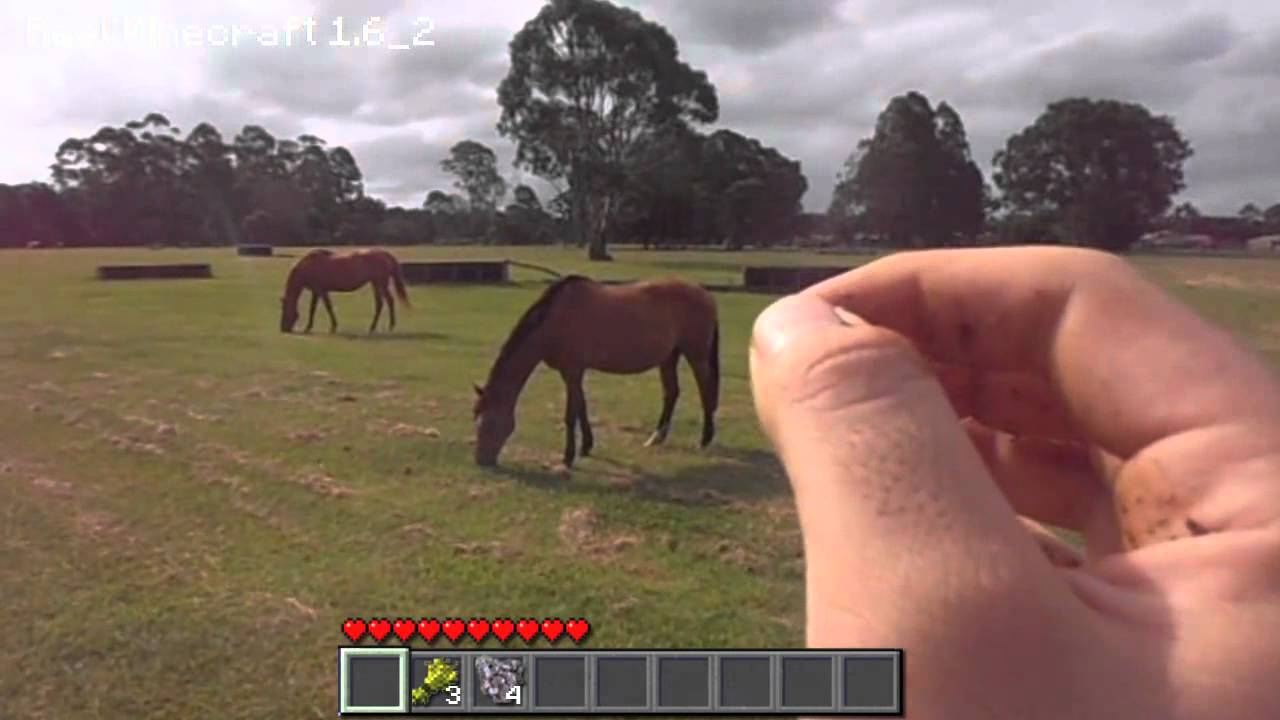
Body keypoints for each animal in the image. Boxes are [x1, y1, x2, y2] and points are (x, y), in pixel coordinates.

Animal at [279, 248, 410, 334]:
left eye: (284, 311)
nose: (283, 329)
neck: (307, 267)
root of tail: (385, 254)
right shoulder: (316, 292)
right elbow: (313, 309)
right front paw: (309, 327)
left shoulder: (321, 291)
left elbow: (327, 307)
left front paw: (332, 327)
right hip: (376, 284)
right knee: (382, 303)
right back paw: (376, 327)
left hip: (380, 284)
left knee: (387, 302)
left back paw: (384, 327)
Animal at [472, 275, 720, 468]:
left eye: (490, 424)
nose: (481, 461)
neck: (555, 320)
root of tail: (705, 294)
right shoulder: (573, 373)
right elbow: (582, 407)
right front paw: (586, 447)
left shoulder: (572, 371)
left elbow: (570, 414)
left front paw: (568, 457)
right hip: (669, 357)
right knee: (671, 393)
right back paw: (656, 438)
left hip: (695, 355)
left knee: (705, 392)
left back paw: (704, 440)